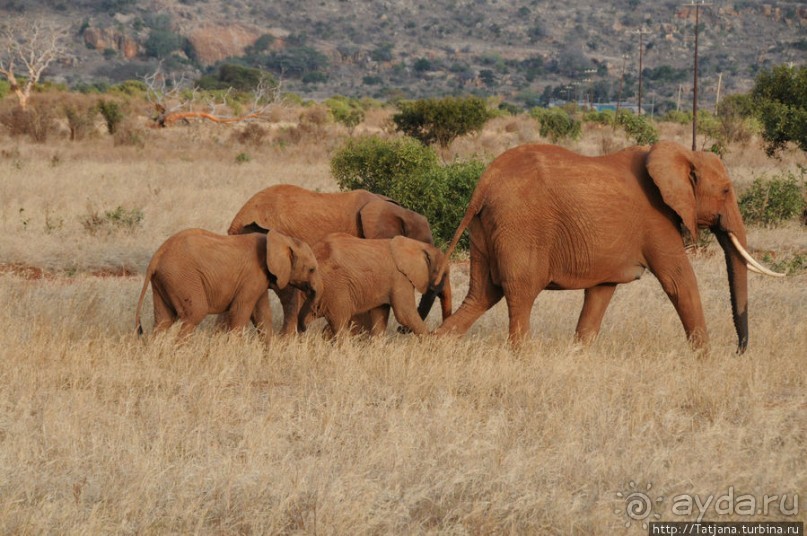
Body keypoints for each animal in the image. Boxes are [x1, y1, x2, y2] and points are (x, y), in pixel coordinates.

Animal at [134, 227, 320, 340]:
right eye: (311, 269)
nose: (303, 329)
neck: (280, 239)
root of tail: (157, 255)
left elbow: (262, 315)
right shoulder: (252, 275)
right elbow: (240, 312)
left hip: (165, 279)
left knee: (163, 320)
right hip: (182, 277)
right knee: (195, 313)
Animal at [302, 233, 454, 338]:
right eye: (444, 274)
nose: (400, 330)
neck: (418, 246)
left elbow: (379, 315)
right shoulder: (400, 278)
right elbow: (405, 315)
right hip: (334, 286)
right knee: (339, 321)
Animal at [436, 140, 784, 354]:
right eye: (725, 190)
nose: (739, 350)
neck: (682, 154)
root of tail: (483, 183)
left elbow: (600, 293)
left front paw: (578, 355)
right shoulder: (657, 220)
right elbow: (679, 281)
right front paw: (705, 359)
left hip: (486, 229)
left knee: (482, 295)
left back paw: (434, 348)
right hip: (520, 226)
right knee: (520, 295)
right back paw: (523, 357)